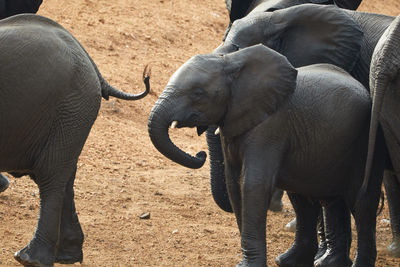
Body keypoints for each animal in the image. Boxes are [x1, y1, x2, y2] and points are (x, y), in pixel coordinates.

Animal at [0, 14, 150, 267]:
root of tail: (90, 61)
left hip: (69, 107)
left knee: (50, 175)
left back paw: (31, 259)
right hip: (69, 114)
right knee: (63, 175)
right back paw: (66, 256)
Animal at [148, 43, 384, 266]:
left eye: (197, 93)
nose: (200, 155)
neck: (231, 62)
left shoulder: (272, 125)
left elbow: (253, 184)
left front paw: (247, 265)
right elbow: (234, 183)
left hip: (365, 142)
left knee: (361, 202)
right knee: (314, 200)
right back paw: (301, 262)